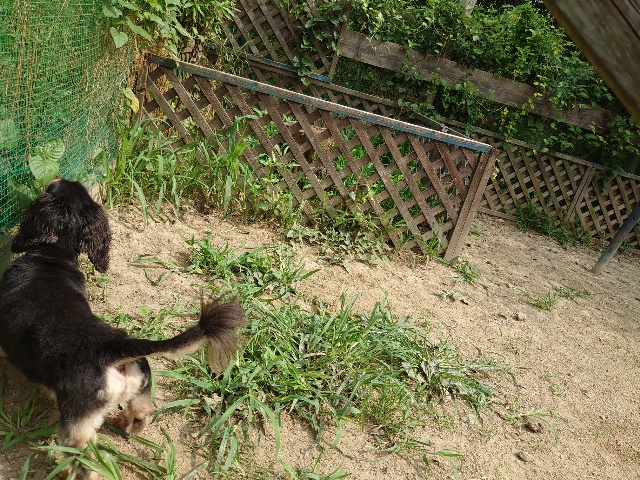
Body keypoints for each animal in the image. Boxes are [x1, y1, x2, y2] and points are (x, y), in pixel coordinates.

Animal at [0, 178, 245, 478]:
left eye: (52, 188)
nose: (56, 179)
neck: (53, 255)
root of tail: (111, 347)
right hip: (141, 389)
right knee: (142, 414)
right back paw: (124, 425)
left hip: (76, 428)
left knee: (85, 463)